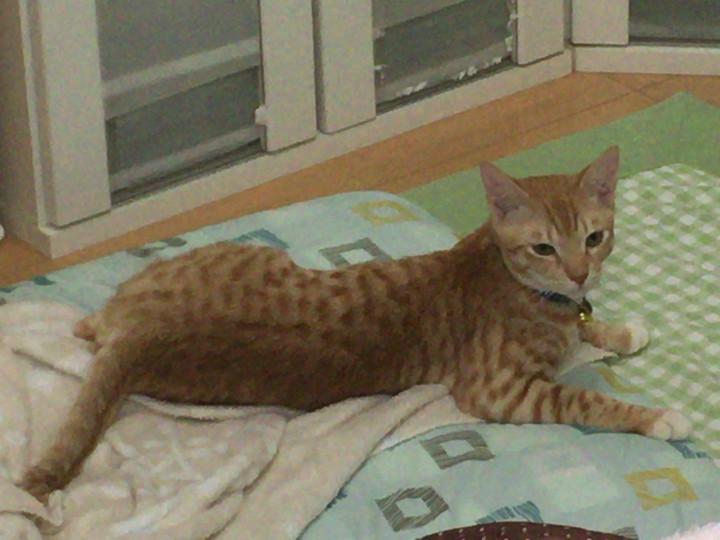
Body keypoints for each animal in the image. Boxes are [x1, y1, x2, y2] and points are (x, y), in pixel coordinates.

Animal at [19, 146, 690, 501]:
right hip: (253, 255)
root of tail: (141, 336)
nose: (579, 273)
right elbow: (584, 398)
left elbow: (586, 330)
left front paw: (620, 331)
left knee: (90, 325)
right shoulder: (501, 391)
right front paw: (656, 415)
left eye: (595, 238)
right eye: (544, 247)